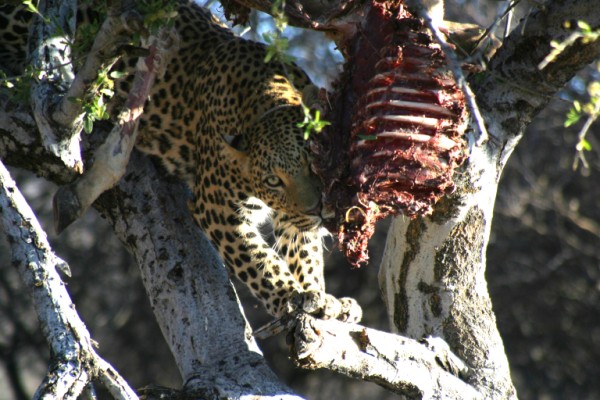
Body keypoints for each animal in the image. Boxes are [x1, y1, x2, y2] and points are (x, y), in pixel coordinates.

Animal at [1, 0, 360, 322]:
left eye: (312, 164)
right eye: (274, 181)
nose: (318, 209)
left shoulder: (292, 214)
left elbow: (304, 251)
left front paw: (319, 296)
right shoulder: (217, 208)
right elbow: (259, 261)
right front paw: (291, 295)